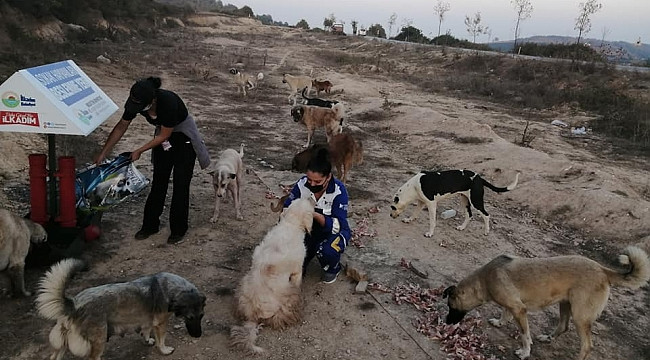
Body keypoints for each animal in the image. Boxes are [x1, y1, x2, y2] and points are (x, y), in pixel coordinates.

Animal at [36, 258, 204, 360]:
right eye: (190, 318)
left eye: (201, 316)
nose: (198, 336)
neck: (171, 288)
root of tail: (74, 303)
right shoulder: (161, 323)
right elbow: (161, 339)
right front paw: (164, 350)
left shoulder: (146, 318)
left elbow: (146, 329)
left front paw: (147, 339)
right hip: (99, 339)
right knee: (93, 357)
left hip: (61, 342)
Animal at [229, 197, 316, 352]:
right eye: (308, 203)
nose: (311, 197)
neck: (290, 224)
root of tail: (252, 316)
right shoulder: (297, 272)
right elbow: (298, 282)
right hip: (288, 300)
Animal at [388, 169, 520, 238]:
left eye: (392, 207)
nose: (390, 215)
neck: (414, 186)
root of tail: (479, 178)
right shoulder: (421, 202)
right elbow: (415, 213)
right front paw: (409, 219)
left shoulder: (431, 204)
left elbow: (432, 222)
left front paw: (430, 233)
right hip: (464, 200)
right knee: (469, 215)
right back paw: (462, 227)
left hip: (475, 201)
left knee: (486, 215)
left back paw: (486, 231)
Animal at [440, 246, 648, 360]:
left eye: (451, 306)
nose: (446, 322)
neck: (484, 280)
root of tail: (603, 270)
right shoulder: (512, 305)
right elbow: (504, 312)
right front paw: (500, 322)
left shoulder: (519, 309)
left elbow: (525, 335)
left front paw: (525, 352)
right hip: (565, 304)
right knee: (563, 326)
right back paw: (548, 337)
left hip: (580, 317)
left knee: (587, 346)